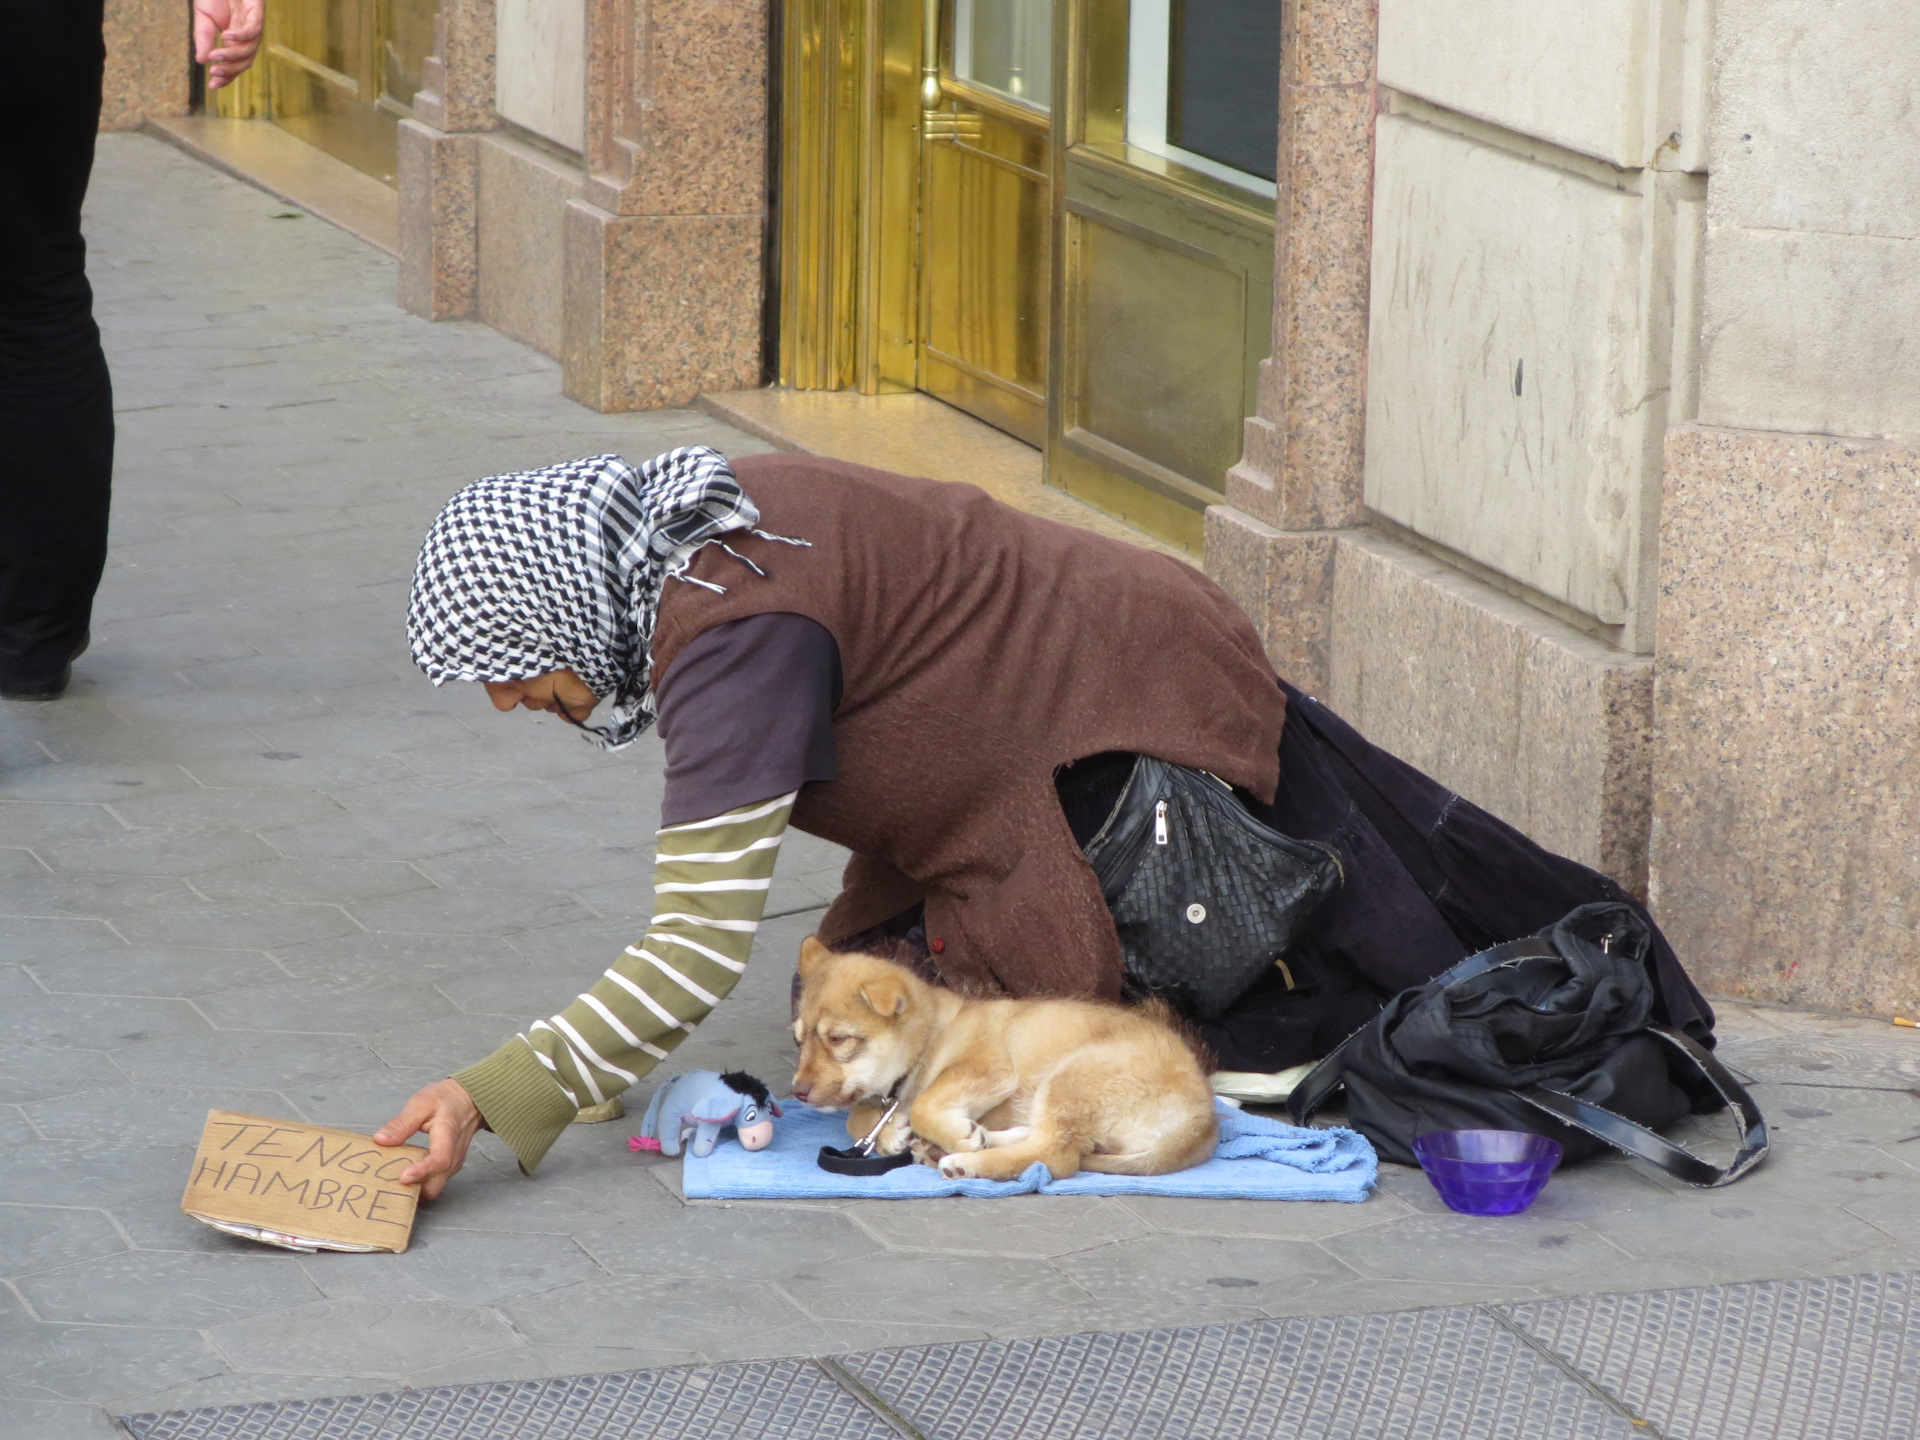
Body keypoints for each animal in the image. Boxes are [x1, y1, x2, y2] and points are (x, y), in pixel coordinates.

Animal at [791, 940, 1213, 1190]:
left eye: (838, 1039)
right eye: (798, 1039)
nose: (798, 1092)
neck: (932, 1038)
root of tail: (1205, 1119)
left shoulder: (986, 1069)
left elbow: (926, 1103)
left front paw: (949, 1134)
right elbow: (857, 1117)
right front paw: (891, 1134)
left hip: (1072, 1077)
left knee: (1055, 1158)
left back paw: (964, 1160)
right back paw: (967, 1145)